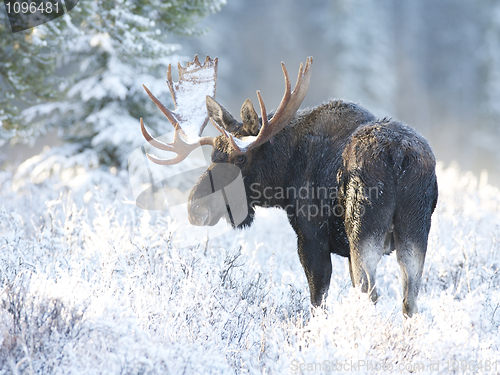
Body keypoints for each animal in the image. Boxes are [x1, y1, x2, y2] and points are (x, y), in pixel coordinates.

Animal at [140, 55, 438, 318]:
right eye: (213, 156)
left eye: (240, 158)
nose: (195, 208)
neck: (285, 175)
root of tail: (397, 155)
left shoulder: (311, 237)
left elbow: (317, 301)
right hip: (414, 229)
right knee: (409, 300)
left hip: (362, 228)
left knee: (370, 293)